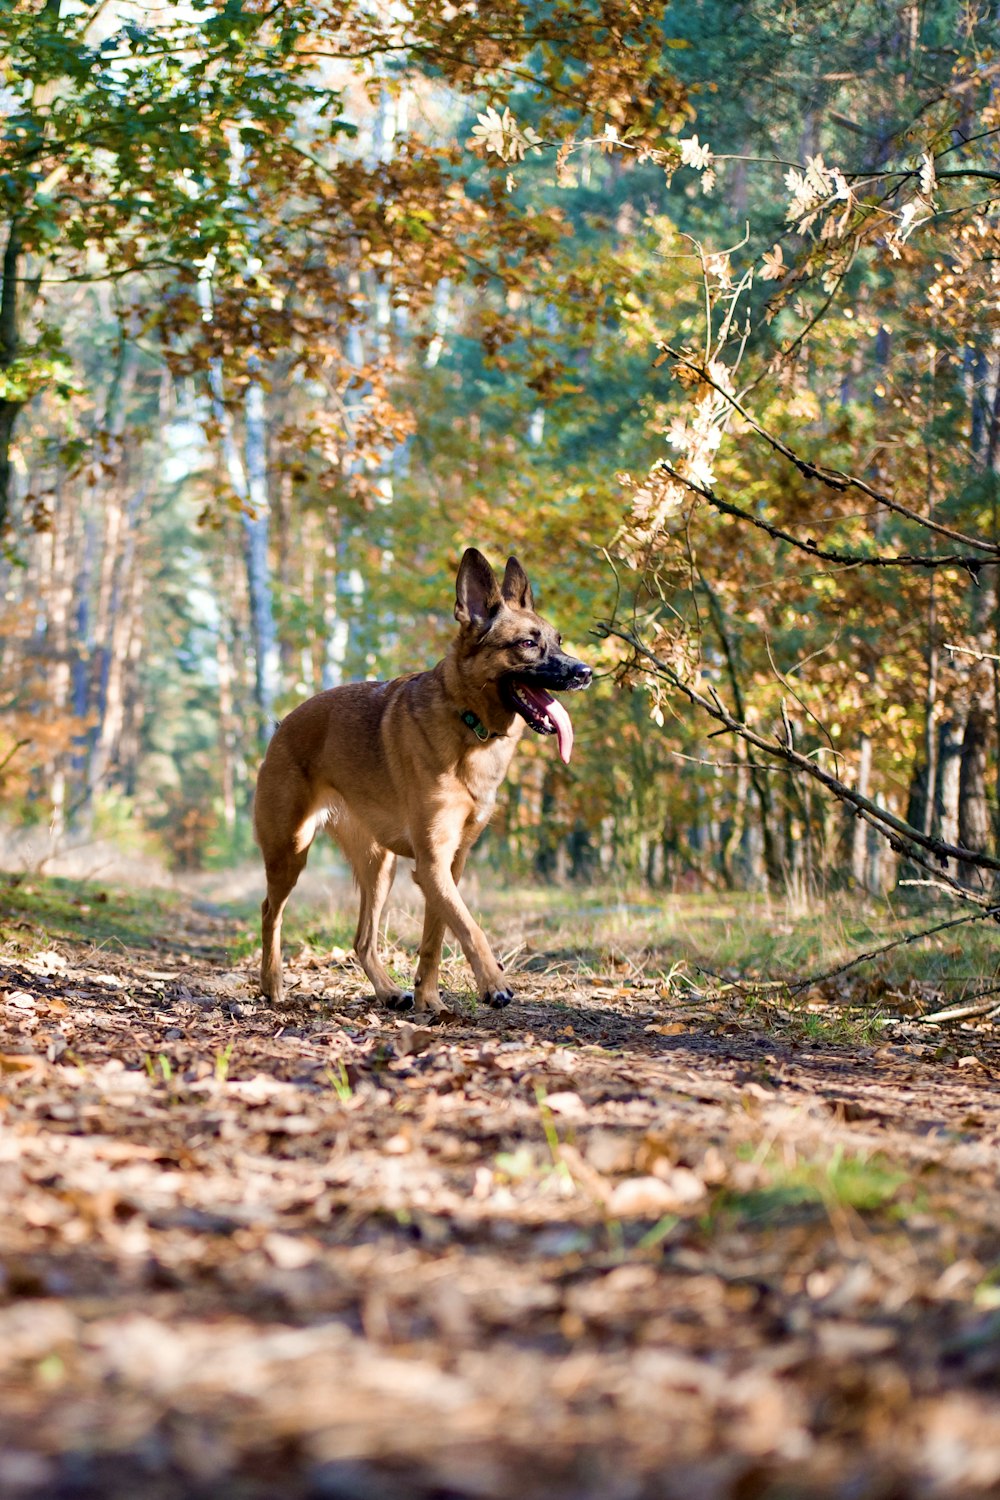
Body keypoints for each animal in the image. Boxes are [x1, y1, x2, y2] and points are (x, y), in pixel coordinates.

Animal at [254, 555, 590, 1020]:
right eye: (527, 643)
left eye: (559, 641)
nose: (585, 672)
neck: (468, 721)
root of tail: (282, 725)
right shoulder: (433, 864)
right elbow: (469, 926)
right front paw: (494, 984)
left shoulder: (448, 865)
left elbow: (437, 936)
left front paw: (430, 999)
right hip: (290, 851)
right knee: (271, 912)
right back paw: (272, 985)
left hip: (380, 867)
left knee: (362, 940)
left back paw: (390, 993)